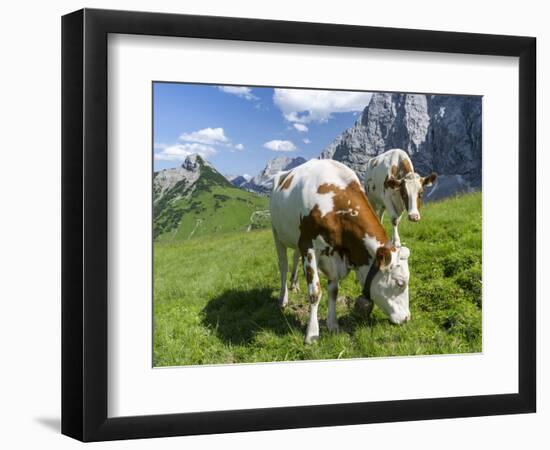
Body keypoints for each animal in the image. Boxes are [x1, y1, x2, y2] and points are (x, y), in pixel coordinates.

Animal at [270, 159, 412, 344]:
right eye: (400, 283)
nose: (407, 318)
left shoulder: (332, 255)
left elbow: (333, 291)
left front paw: (333, 325)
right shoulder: (308, 246)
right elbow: (315, 292)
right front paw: (312, 334)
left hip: (295, 239)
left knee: (294, 258)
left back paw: (294, 285)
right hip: (277, 234)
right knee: (283, 266)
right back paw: (283, 298)